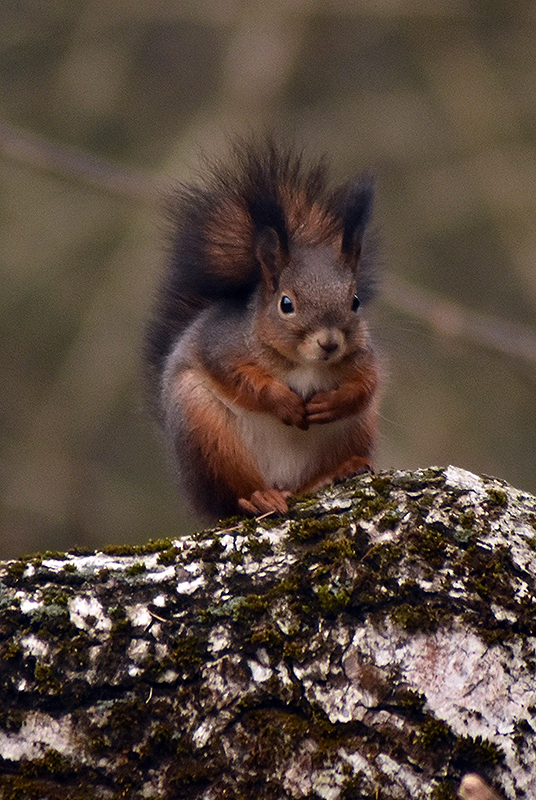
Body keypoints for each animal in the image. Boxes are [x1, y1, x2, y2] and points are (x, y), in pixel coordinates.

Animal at [146, 140, 382, 520]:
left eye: (355, 301)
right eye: (286, 304)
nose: (330, 343)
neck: (306, 363)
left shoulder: (365, 358)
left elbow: (366, 385)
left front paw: (333, 402)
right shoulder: (222, 346)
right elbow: (242, 380)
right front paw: (283, 402)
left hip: (356, 431)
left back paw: (336, 471)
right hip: (206, 433)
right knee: (233, 495)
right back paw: (259, 498)